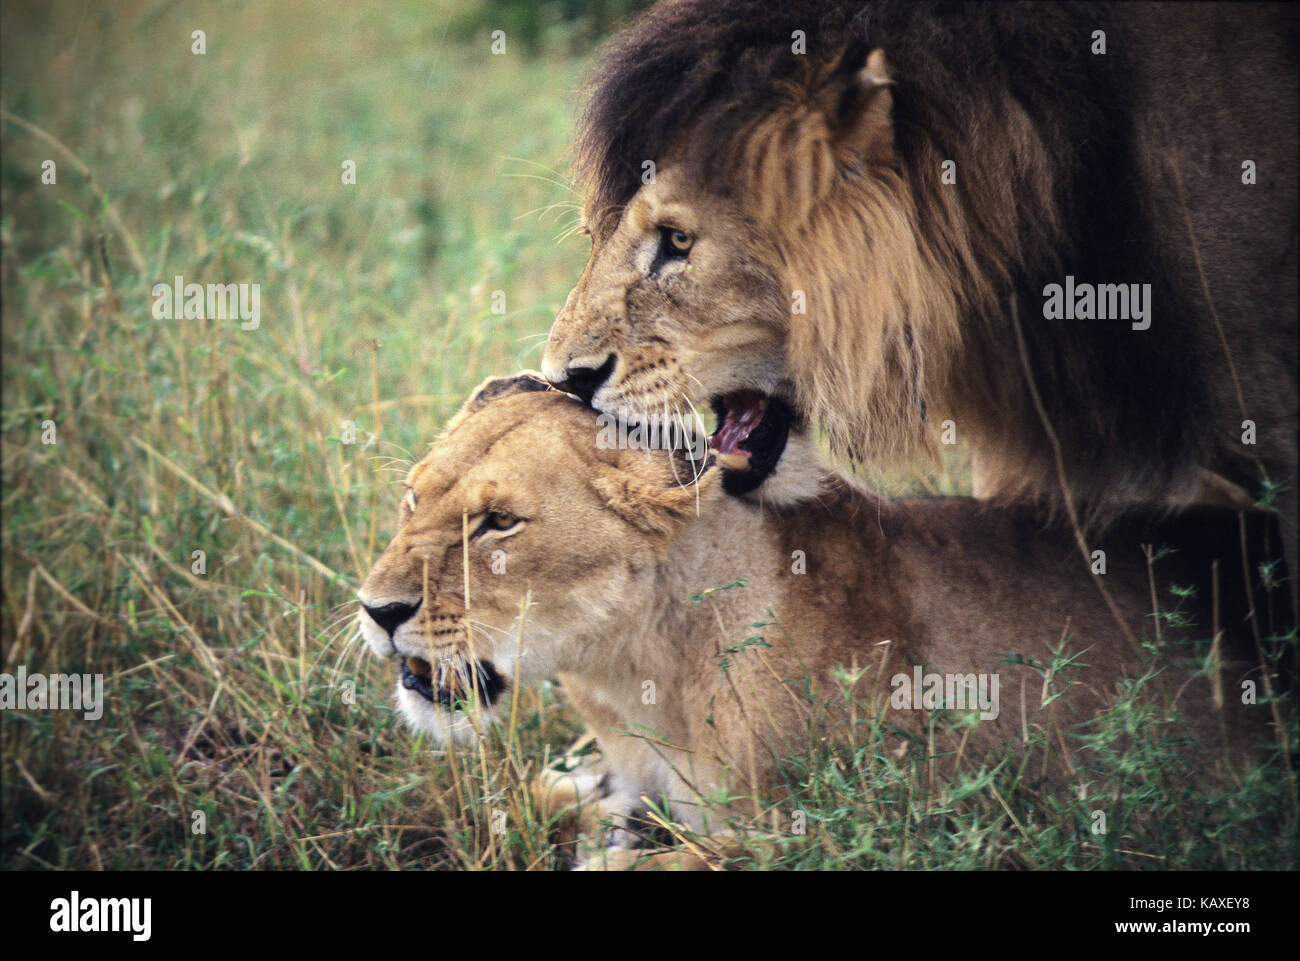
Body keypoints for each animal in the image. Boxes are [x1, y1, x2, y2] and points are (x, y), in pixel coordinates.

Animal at [357, 374, 1288, 867]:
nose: (376, 610)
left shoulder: (849, 832)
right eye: (412, 497)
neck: (641, 678)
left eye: (499, 523)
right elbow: (528, 797)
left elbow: (661, 860)